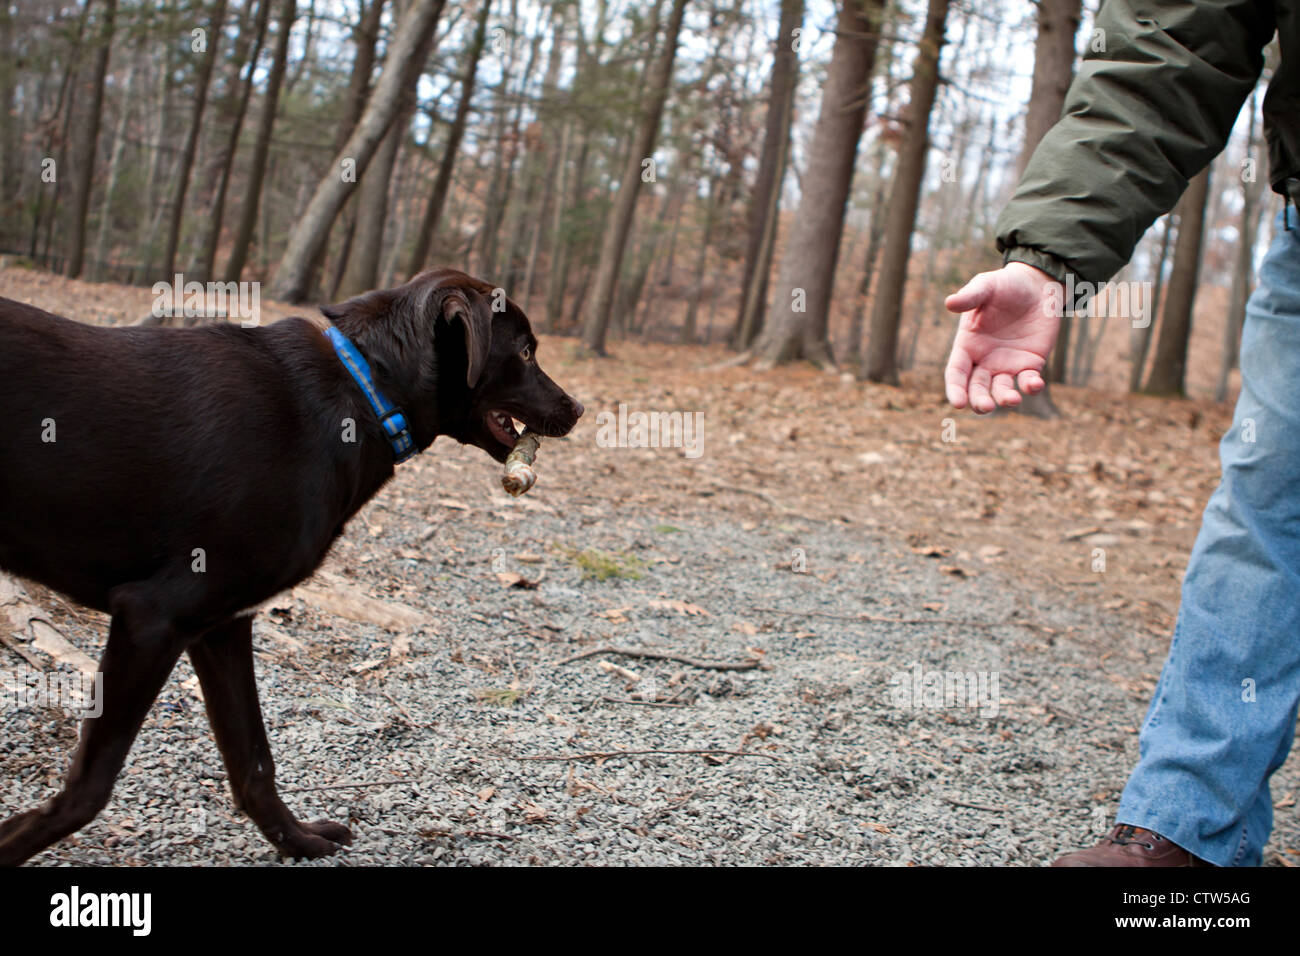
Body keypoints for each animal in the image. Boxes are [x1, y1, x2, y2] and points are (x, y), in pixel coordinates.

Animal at [0, 269, 585, 868]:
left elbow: (254, 762)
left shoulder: (219, 627)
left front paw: (298, 840)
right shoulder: (153, 617)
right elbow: (90, 786)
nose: (579, 408)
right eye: (526, 351)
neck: (365, 387)